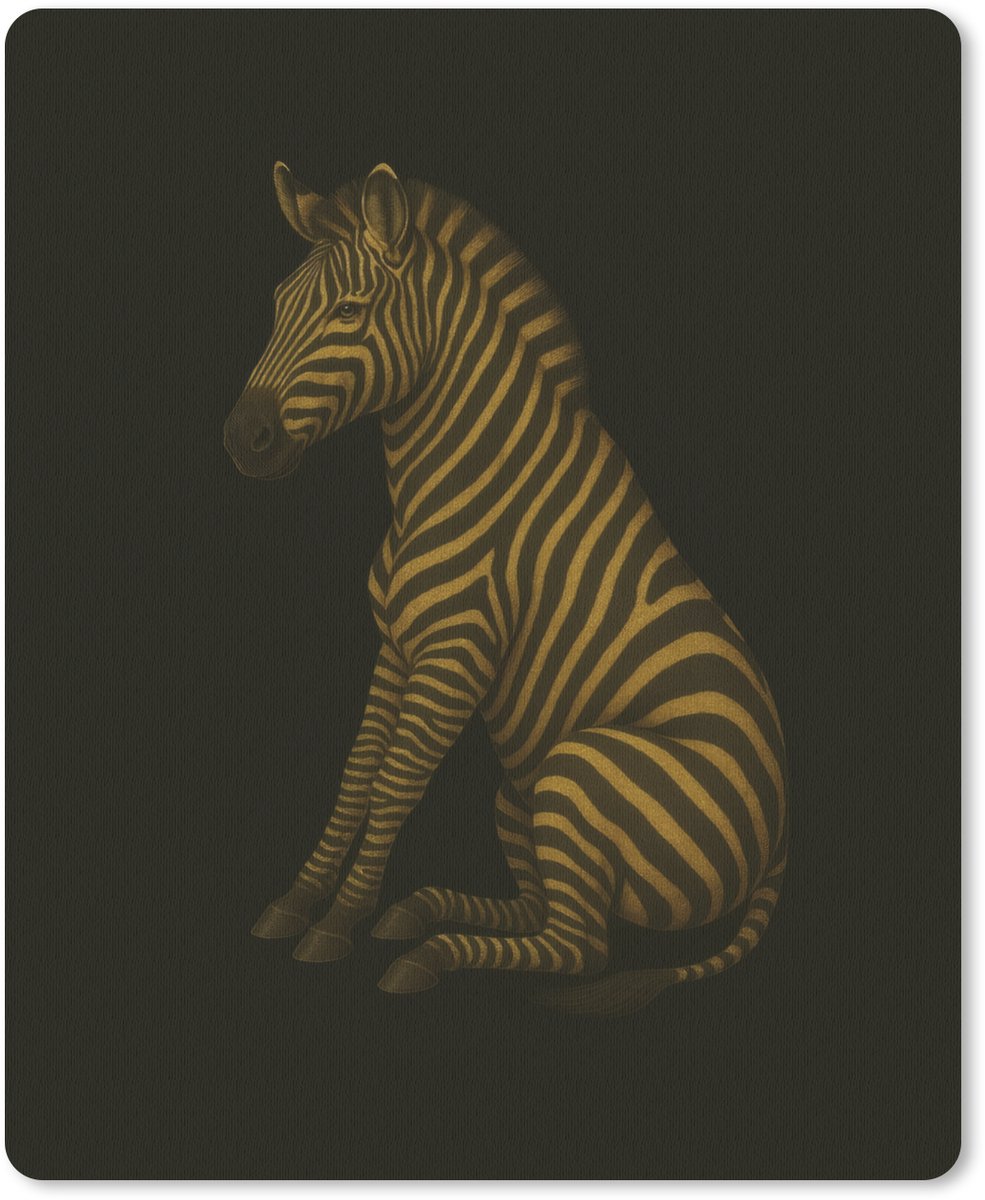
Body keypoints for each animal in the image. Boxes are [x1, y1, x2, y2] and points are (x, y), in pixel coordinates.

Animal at [223, 162, 788, 1015]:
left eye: (349, 311)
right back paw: (422, 911)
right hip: (520, 800)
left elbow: (393, 784)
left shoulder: (456, 653)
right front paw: (298, 902)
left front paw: (338, 922)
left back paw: (428, 953)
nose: (242, 439)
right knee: (550, 918)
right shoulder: (397, 646)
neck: (455, 480)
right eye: (279, 303)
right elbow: (356, 774)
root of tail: (776, 846)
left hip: (576, 770)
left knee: (580, 949)